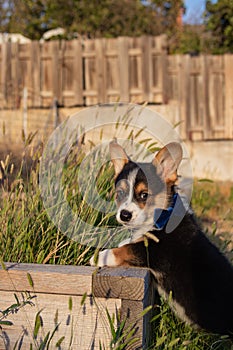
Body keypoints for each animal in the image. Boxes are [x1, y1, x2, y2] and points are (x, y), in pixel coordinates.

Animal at [90, 141, 233, 334]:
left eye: (144, 195)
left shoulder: (159, 252)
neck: (162, 216)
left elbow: (131, 248)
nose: (124, 215)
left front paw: (100, 255)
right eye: (120, 193)